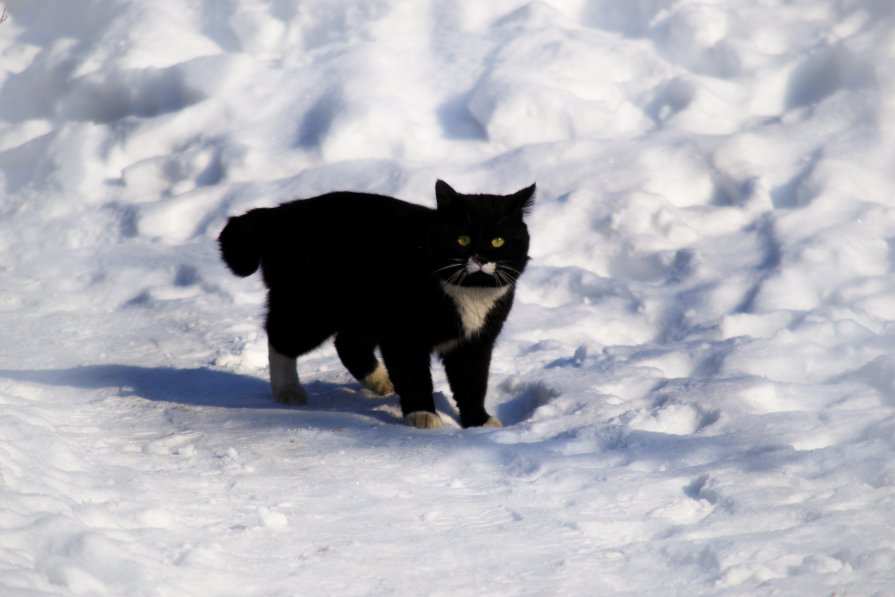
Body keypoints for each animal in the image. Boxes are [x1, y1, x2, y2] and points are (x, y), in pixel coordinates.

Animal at [220, 179, 536, 426]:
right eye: (463, 239)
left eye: (498, 241)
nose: (480, 258)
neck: (469, 296)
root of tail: (278, 213)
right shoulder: (402, 335)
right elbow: (413, 374)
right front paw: (422, 414)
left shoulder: (475, 343)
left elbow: (472, 383)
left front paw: (478, 421)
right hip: (310, 307)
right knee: (280, 337)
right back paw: (288, 391)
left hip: (359, 310)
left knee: (348, 345)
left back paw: (382, 381)